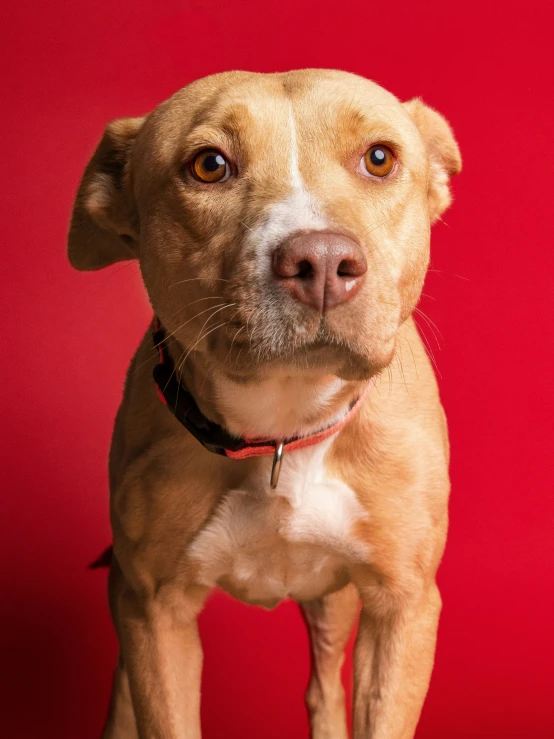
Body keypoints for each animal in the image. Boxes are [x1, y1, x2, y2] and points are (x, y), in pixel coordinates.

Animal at [67, 71, 460, 739]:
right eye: (209, 165)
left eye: (380, 158)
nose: (322, 260)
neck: (284, 427)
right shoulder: (154, 612)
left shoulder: (402, 607)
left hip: (333, 606)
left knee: (323, 688)